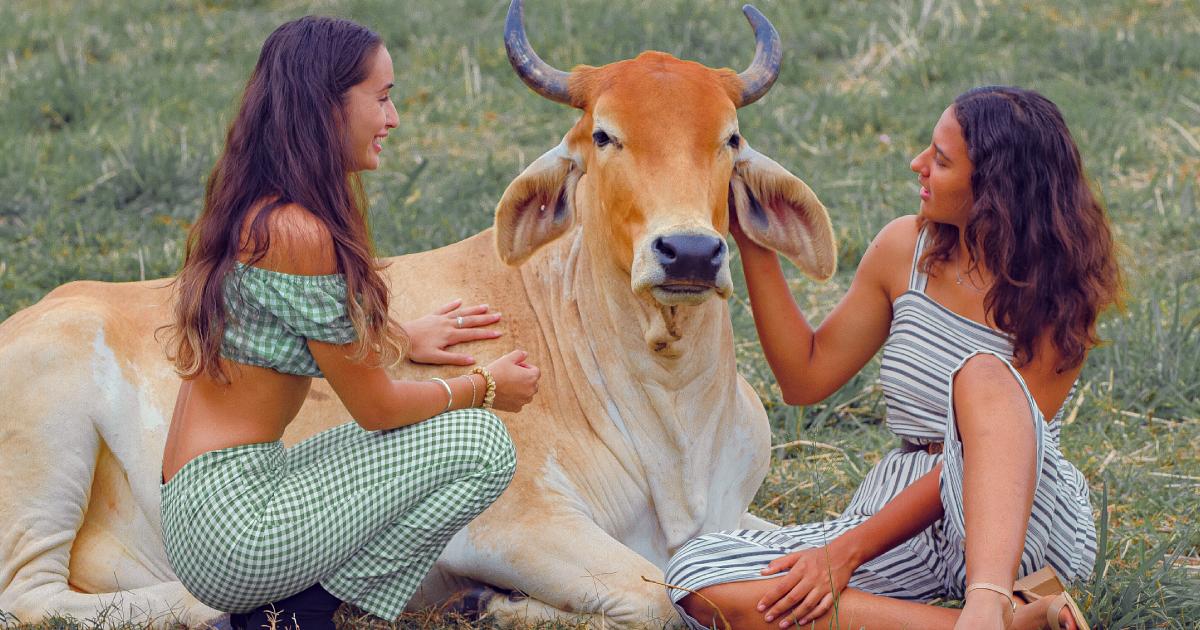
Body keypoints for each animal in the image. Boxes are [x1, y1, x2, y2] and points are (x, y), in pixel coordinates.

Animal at [0, 1, 835, 627]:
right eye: (605, 135)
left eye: (730, 137)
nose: (689, 252)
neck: (672, 416)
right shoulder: (516, 525)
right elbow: (660, 596)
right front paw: (501, 605)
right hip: (50, 447)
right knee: (31, 598)